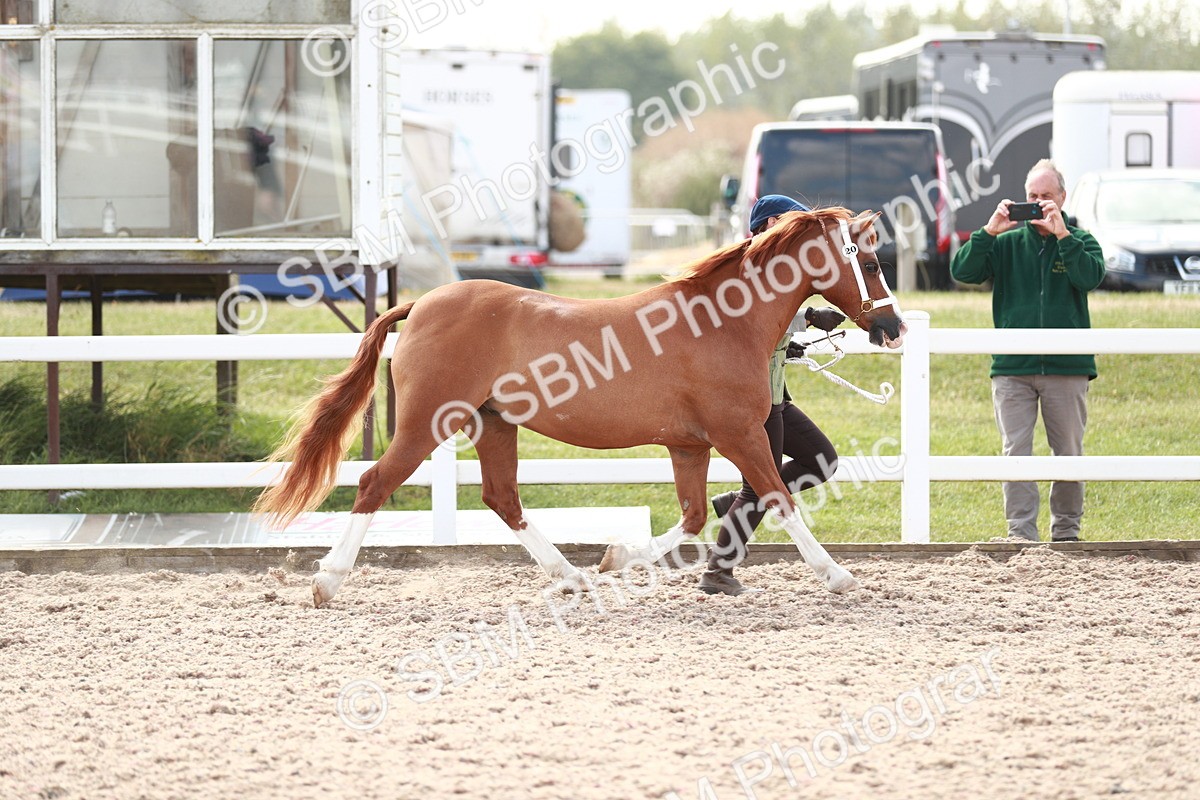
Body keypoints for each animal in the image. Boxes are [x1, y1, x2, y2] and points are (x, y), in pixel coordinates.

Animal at [253, 207, 906, 607]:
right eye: (872, 262)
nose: (895, 328)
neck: (724, 322)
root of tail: (422, 304)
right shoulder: (738, 434)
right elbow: (780, 499)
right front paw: (838, 575)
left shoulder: (689, 445)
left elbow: (696, 515)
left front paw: (616, 558)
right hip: (426, 424)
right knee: (374, 484)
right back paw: (328, 581)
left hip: (493, 424)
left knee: (503, 498)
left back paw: (569, 576)